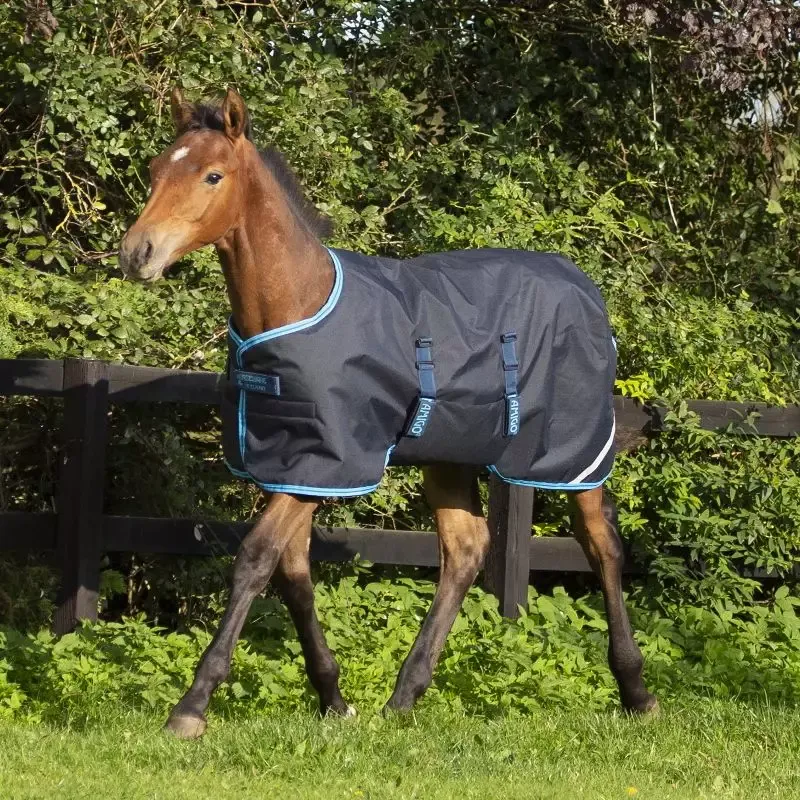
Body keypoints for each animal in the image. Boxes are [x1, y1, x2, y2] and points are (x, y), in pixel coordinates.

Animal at [118, 86, 658, 739]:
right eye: (155, 170)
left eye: (212, 175)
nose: (137, 253)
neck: (297, 304)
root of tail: (585, 287)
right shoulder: (294, 465)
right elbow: (292, 571)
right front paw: (334, 698)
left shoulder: (329, 461)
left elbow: (254, 559)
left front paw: (192, 706)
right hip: (450, 454)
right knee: (466, 549)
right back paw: (405, 696)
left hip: (571, 453)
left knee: (601, 546)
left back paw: (636, 691)